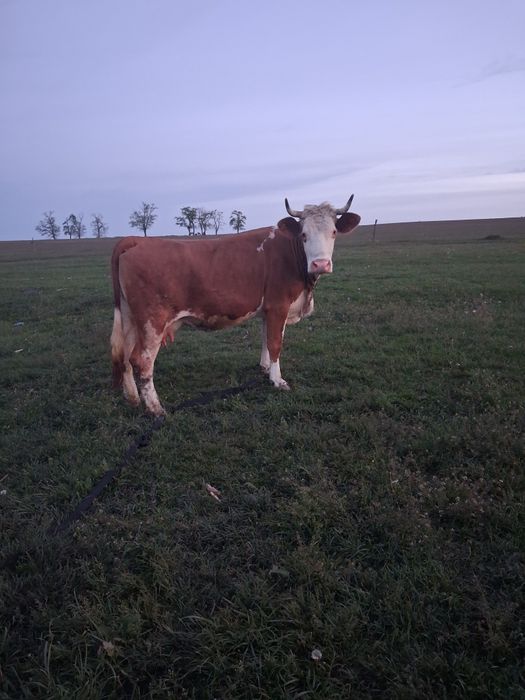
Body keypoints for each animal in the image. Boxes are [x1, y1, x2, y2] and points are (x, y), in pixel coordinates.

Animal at [111, 197, 361, 415]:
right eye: (304, 234)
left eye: (334, 232)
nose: (321, 264)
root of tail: (136, 240)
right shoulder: (278, 305)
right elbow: (275, 343)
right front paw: (277, 380)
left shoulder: (268, 310)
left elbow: (265, 339)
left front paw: (264, 368)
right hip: (152, 322)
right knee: (141, 361)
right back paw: (155, 409)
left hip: (130, 319)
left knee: (125, 356)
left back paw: (133, 398)